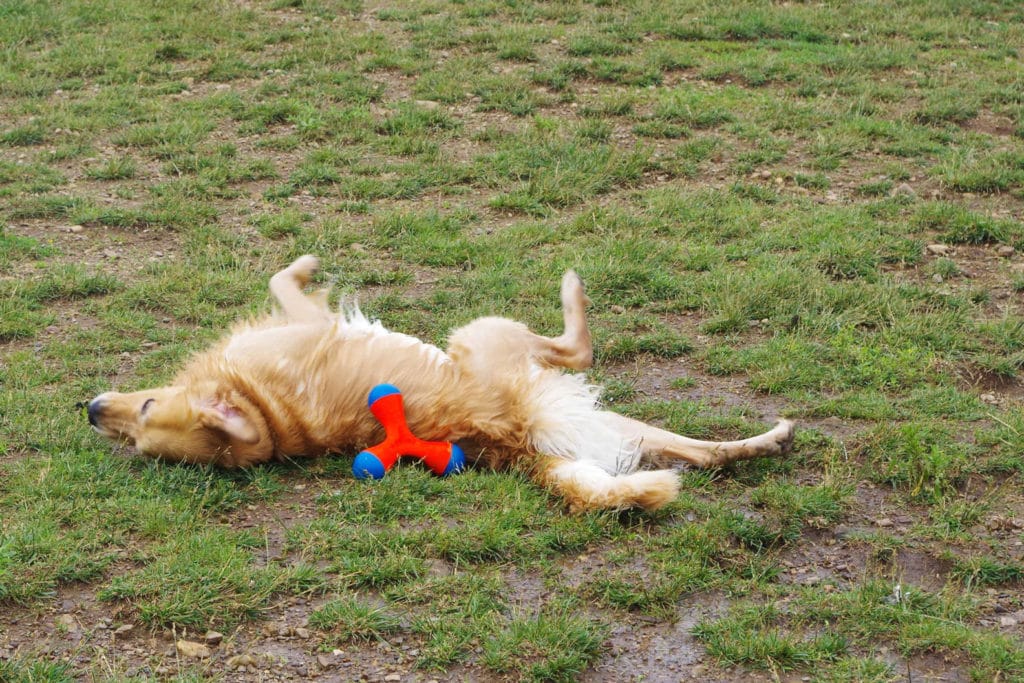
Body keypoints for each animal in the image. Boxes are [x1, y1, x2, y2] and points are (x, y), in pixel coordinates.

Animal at [86, 258, 790, 511]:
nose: (90, 408)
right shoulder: (304, 317)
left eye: (144, 410)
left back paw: (768, 441)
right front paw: (310, 263)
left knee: (706, 453)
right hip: (486, 335)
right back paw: (573, 285)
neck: (259, 407)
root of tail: (510, 441)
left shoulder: (301, 320)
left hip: (606, 423)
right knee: (579, 347)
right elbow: (283, 279)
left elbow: (281, 278)